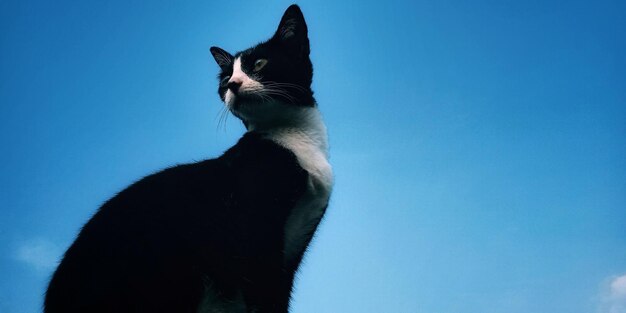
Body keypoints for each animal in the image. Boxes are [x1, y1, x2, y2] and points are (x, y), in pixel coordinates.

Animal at [44, 5, 332, 312]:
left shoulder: (294, 245)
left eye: (258, 64)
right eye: (225, 78)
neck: (293, 138)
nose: (232, 84)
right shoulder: (256, 237)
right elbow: (265, 293)